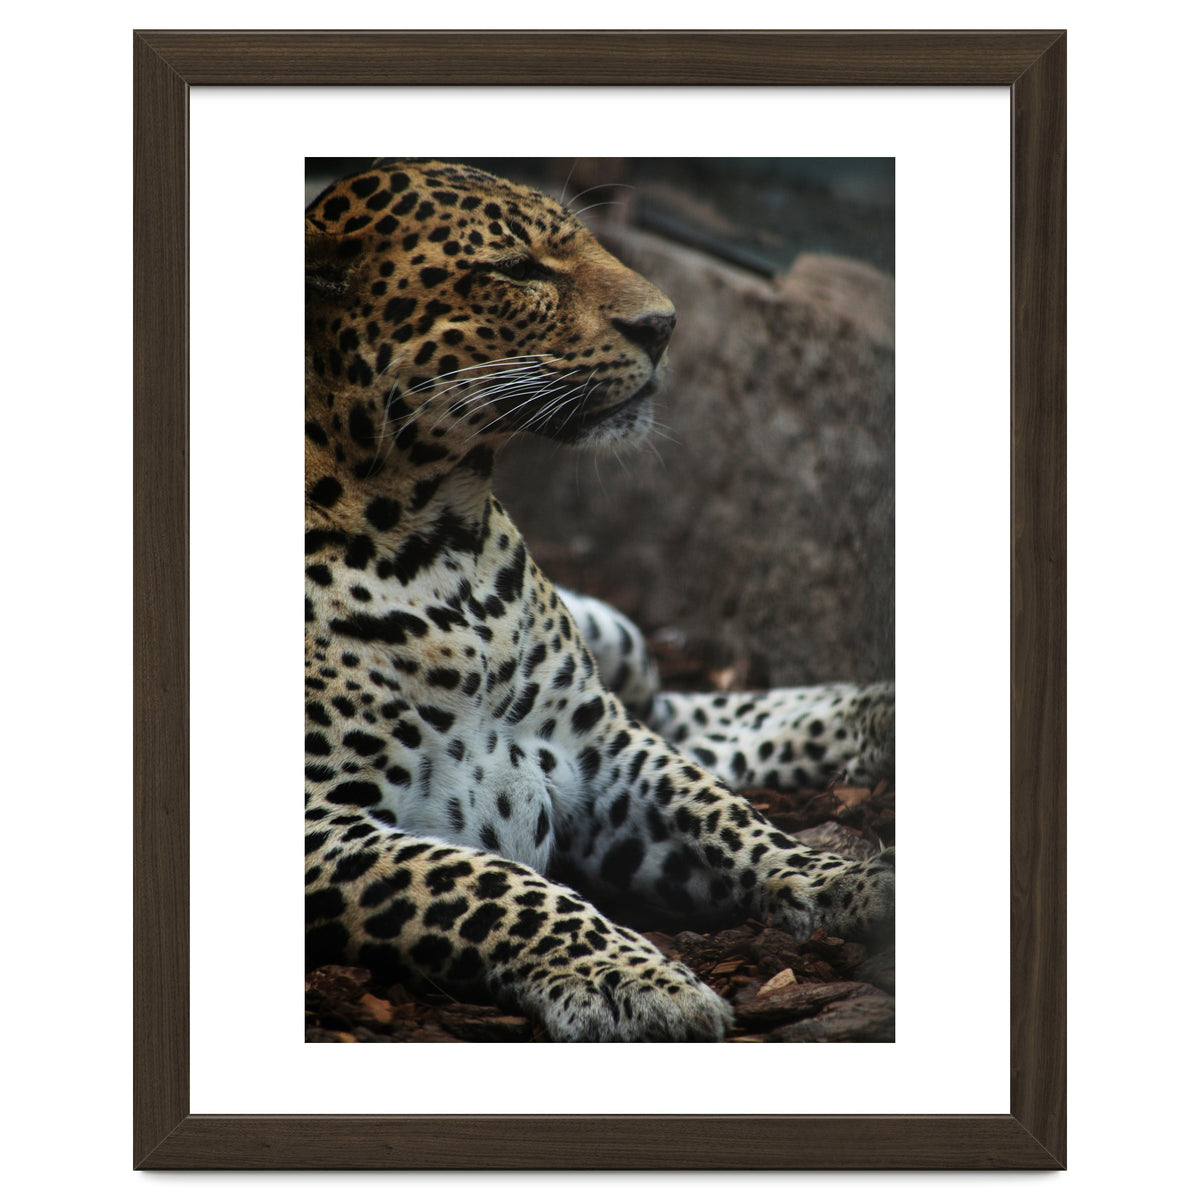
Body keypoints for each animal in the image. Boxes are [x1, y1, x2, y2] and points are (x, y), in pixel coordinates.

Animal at [304, 159, 895, 1041]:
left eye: (583, 242)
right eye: (517, 269)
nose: (665, 324)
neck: (439, 540)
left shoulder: (598, 747)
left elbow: (724, 814)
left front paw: (846, 881)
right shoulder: (319, 825)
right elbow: (489, 884)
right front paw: (635, 980)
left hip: (619, 649)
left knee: (681, 715)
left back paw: (877, 713)